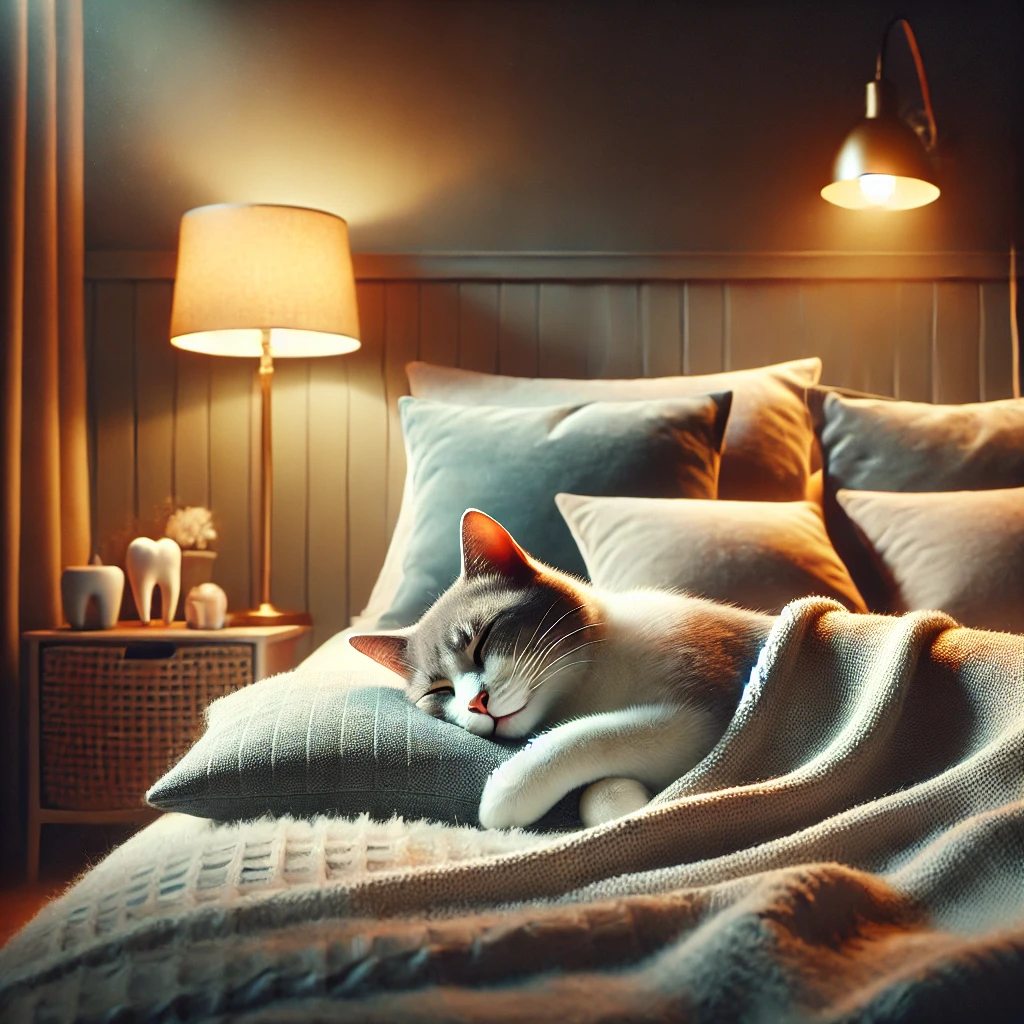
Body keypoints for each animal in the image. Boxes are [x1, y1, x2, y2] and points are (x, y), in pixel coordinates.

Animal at [348, 507, 770, 827]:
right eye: (439, 691)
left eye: (482, 641)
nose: (475, 704)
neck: (595, 675)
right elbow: (601, 790)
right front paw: (636, 806)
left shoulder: (708, 709)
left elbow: (593, 734)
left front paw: (507, 789)